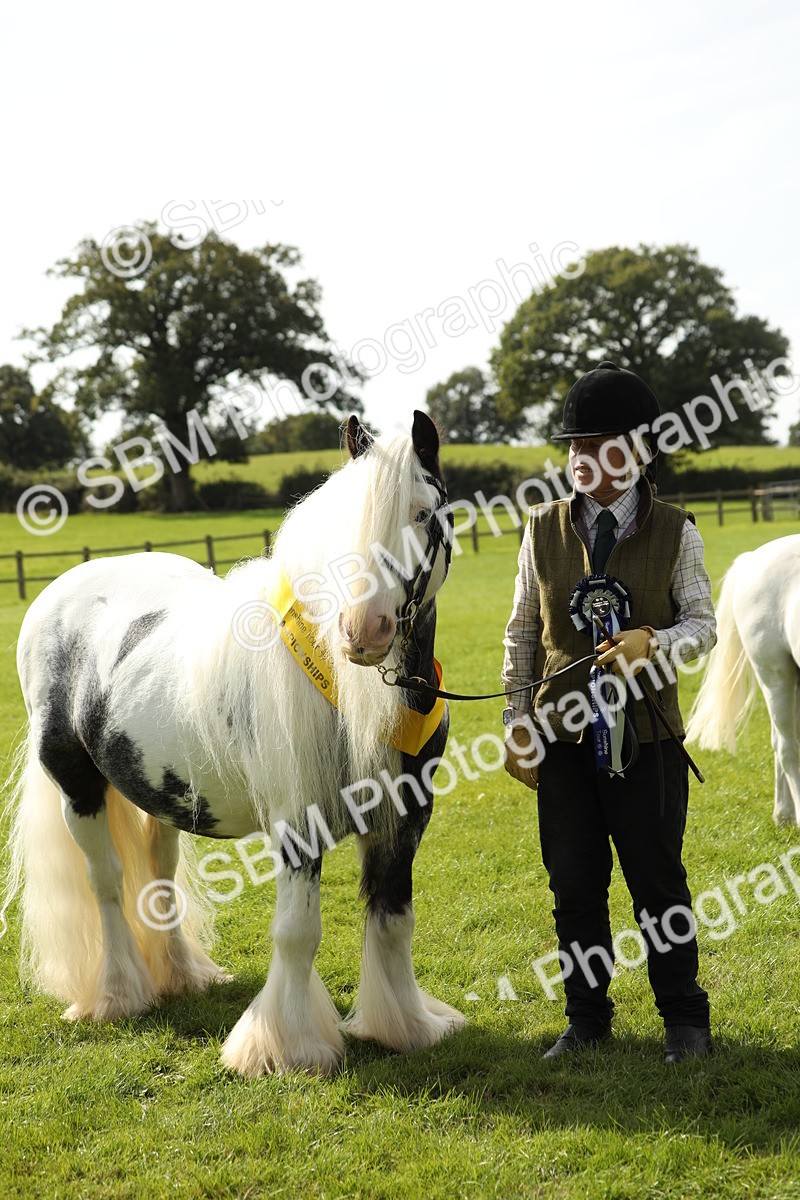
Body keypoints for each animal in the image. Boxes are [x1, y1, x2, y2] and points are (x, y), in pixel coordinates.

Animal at [1, 410, 466, 1076]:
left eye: (425, 513)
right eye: (339, 525)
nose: (364, 631)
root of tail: (60, 592)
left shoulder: (405, 818)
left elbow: (392, 918)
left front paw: (405, 1026)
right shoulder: (298, 823)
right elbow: (297, 932)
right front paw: (287, 1048)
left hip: (161, 790)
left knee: (158, 874)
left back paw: (180, 975)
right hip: (76, 787)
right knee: (107, 883)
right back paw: (118, 996)